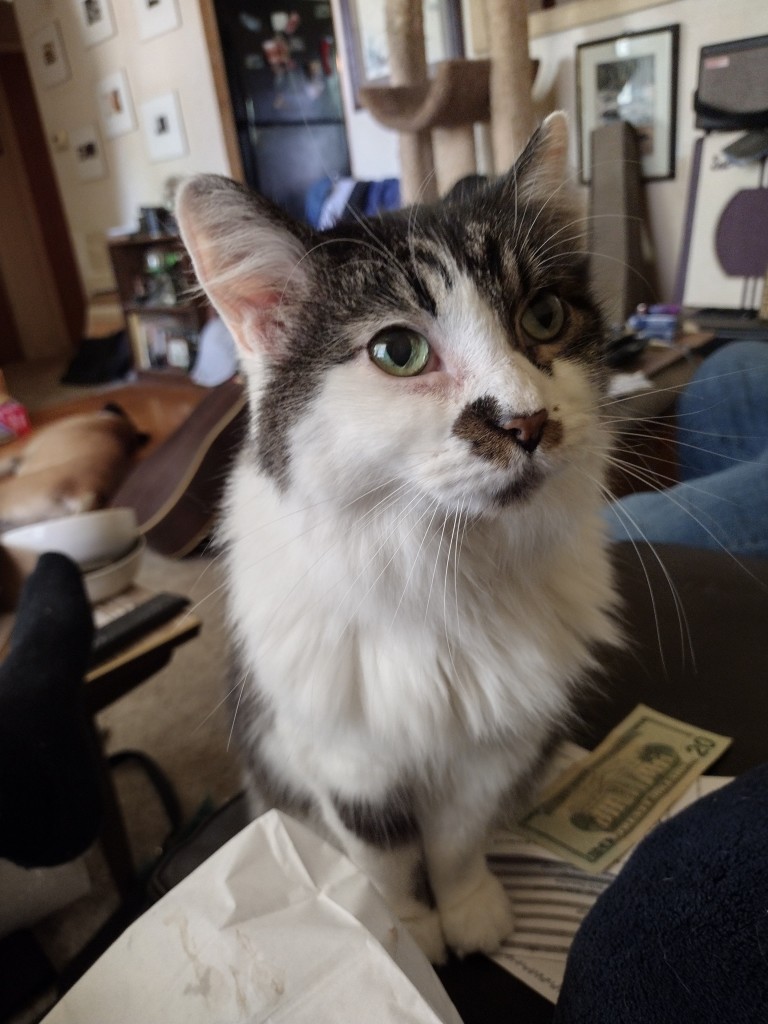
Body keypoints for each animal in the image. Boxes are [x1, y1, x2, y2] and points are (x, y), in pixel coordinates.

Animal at [177, 116, 622, 962]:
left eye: (544, 318)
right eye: (397, 352)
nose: (528, 422)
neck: (445, 573)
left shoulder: (491, 753)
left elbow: (454, 844)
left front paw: (468, 914)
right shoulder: (344, 761)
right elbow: (384, 859)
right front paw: (405, 936)